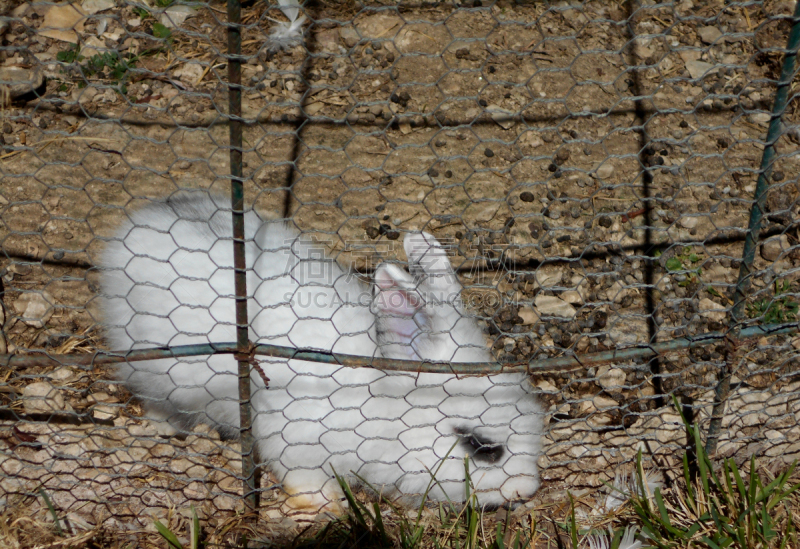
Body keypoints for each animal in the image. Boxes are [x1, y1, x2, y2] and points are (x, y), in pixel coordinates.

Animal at [97, 192, 540, 512]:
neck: (379, 404)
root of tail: (133, 228)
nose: (526, 490)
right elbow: (302, 478)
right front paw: (328, 505)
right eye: (481, 448)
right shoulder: (294, 440)